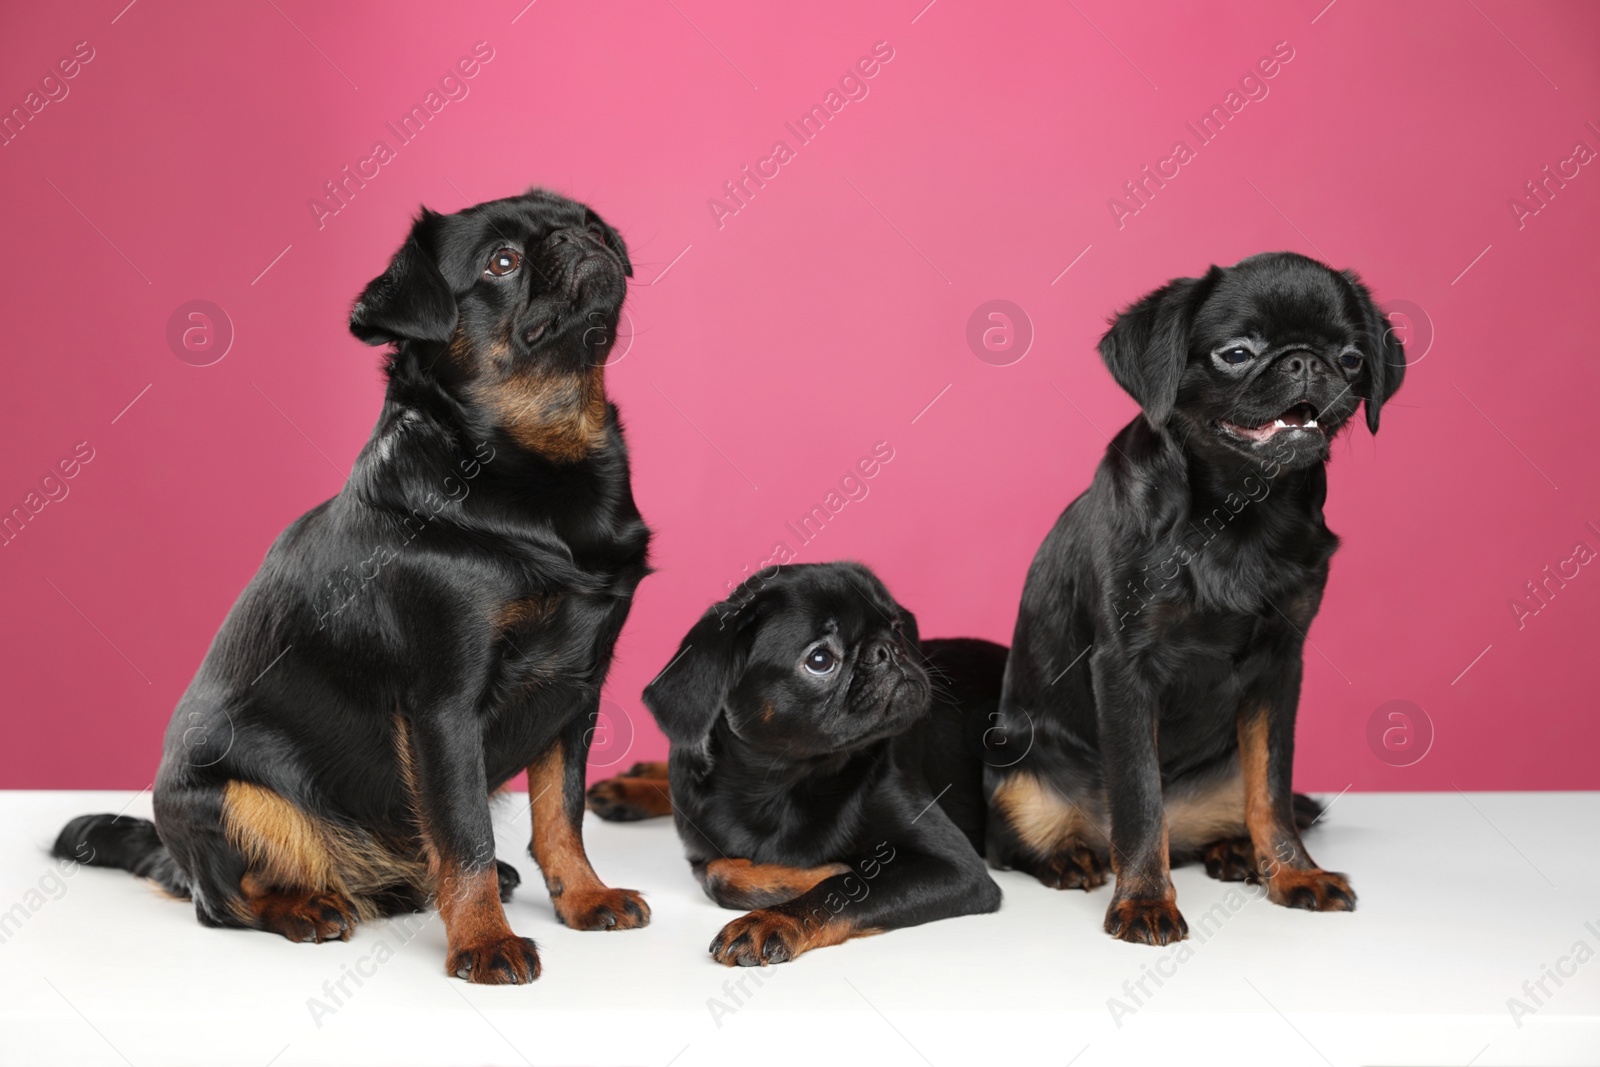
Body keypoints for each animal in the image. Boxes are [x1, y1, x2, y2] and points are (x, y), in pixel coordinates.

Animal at [56, 189, 652, 985]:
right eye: (502, 262)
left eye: (590, 224)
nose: (580, 235)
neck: (540, 459)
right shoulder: (443, 708)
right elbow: (466, 832)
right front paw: (484, 940)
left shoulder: (577, 695)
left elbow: (562, 814)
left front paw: (583, 897)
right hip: (238, 802)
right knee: (228, 901)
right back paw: (307, 907)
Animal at [588, 566, 998, 966]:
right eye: (819, 660)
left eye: (897, 628)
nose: (889, 650)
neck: (785, 782)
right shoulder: (701, 845)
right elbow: (719, 875)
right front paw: (823, 871)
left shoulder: (958, 867)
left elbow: (840, 888)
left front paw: (775, 917)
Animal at [985, 254, 1401, 947]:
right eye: (1237, 354)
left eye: (1349, 359)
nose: (1305, 361)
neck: (1239, 511)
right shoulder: (1125, 667)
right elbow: (1138, 798)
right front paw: (1144, 900)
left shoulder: (1281, 667)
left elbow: (1272, 788)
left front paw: (1293, 872)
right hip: (1018, 778)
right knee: (1040, 837)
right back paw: (1074, 856)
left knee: (1238, 806)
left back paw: (1237, 853)